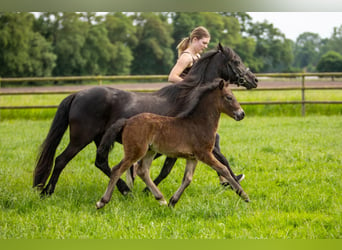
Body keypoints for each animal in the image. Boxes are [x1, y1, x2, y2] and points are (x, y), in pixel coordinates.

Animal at [34, 43, 258, 195]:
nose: (254, 80)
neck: (189, 98)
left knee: (101, 162)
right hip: (80, 138)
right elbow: (167, 168)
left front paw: (232, 181)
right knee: (61, 159)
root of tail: (77, 94)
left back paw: (124, 189)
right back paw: (47, 191)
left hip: (99, 138)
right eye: (236, 62)